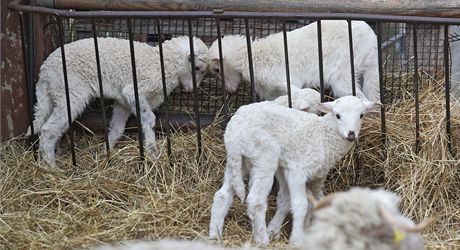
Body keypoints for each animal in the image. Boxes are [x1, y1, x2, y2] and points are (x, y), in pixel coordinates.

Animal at [27, 35, 208, 166]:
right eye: (197, 68)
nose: (192, 89)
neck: (162, 63)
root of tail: (45, 72)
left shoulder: (123, 101)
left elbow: (117, 128)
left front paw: (105, 151)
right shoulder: (134, 90)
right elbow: (149, 119)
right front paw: (152, 151)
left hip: (56, 94)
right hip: (70, 92)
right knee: (48, 129)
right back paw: (51, 167)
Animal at [209, 19, 380, 101]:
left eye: (217, 69)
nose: (230, 91)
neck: (252, 57)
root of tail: (371, 39)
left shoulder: (284, 80)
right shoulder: (272, 91)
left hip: (343, 72)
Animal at [209, 95, 380, 246]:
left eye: (361, 115)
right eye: (337, 115)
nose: (351, 134)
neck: (325, 137)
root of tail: (235, 128)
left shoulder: (314, 175)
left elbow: (301, 201)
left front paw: (286, 230)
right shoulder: (298, 170)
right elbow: (301, 204)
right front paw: (296, 239)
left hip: (239, 160)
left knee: (222, 195)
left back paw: (214, 236)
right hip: (265, 156)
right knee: (256, 201)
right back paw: (262, 240)